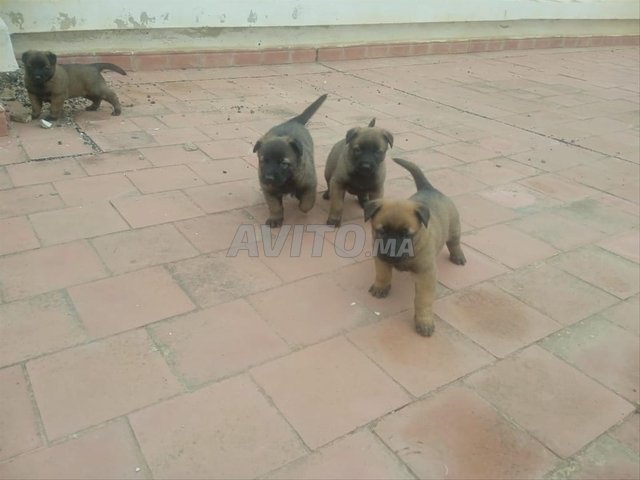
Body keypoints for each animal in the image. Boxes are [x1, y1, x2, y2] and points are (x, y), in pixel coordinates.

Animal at [253, 94, 327, 227]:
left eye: (283, 163)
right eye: (263, 161)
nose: (268, 178)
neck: (287, 180)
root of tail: (294, 121)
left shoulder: (310, 185)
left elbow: (306, 204)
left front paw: (302, 204)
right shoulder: (269, 190)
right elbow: (275, 207)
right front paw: (275, 219)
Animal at [364, 158, 466, 337]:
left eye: (406, 235)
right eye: (382, 232)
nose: (391, 250)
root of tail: (429, 188)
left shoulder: (426, 273)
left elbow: (422, 300)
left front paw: (424, 320)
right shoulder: (380, 258)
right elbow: (383, 274)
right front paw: (381, 287)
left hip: (454, 226)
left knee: (454, 242)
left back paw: (458, 256)